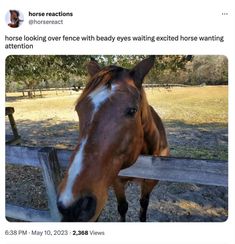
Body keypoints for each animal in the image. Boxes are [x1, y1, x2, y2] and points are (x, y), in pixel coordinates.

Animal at [57, 55, 171, 221]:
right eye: (78, 109)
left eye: (132, 110)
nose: (74, 206)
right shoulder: (117, 181)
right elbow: (122, 207)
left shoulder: (150, 183)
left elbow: (143, 206)